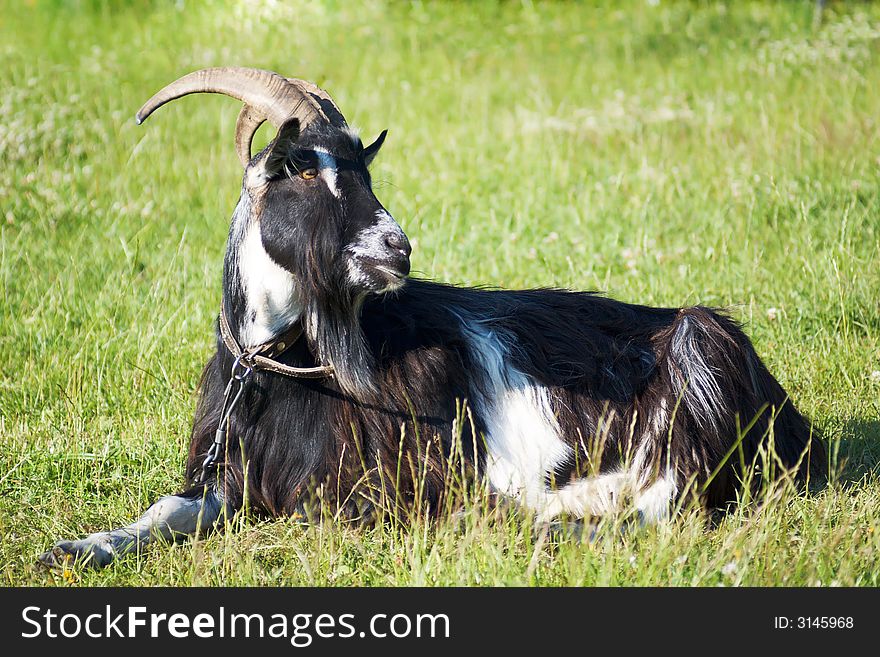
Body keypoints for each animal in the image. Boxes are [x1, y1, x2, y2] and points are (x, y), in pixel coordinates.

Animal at [39, 68, 824, 568]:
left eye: (365, 171)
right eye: (302, 168)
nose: (398, 245)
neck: (287, 364)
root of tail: (794, 420)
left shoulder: (389, 482)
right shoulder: (228, 471)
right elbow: (163, 512)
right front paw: (75, 547)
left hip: (697, 348)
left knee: (670, 500)